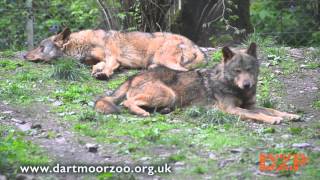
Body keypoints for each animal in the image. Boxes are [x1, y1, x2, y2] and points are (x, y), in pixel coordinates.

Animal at [24, 28, 205, 79]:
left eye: (40, 46)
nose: (24, 55)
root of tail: (196, 46)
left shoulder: (113, 56)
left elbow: (108, 66)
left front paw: (103, 74)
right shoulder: (102, 59)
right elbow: (97, 65)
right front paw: (97, 70)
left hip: (163, 57)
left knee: (186, 71)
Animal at [94, 42, 300, 124]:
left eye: (249, 70)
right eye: (237, 71)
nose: (247, 85)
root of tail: (132, 77)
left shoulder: (250, 105)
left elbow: (271, 109)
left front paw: (289, 115)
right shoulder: (233, 110)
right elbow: (259, 115)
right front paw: (273, 120)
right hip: (168, 94)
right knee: (127, 102)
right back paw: (143, 113)